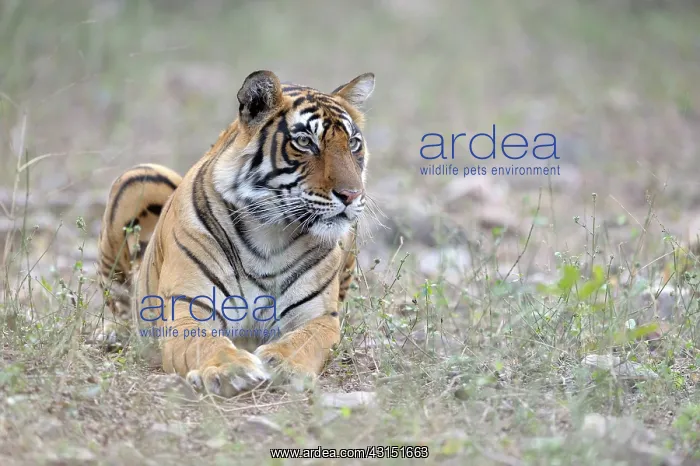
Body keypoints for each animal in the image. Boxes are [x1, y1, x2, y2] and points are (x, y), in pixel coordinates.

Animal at [96, 70, 375, 397]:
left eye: (353, 143)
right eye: (305, 141)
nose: (352, 194)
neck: (272, 232)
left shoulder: (318, 316)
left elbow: (304, 342)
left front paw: (284, 364)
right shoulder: (189, 307)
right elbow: (205, 343)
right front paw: (230, 370)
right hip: (138, 178)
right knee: (118, 303)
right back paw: (112, 334)